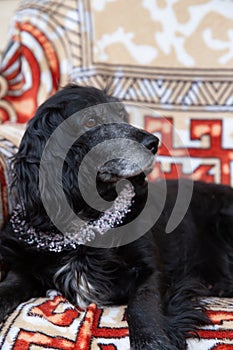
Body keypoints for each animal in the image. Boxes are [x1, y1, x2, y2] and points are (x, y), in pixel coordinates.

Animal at [0, 83, 233, 348]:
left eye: (122, 115)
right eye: (90, 120)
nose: (153, 142)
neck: (85, 217)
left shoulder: (151, 268)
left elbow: (143, 302)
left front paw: (152, 338)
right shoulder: (22, 266)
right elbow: (9, 285)